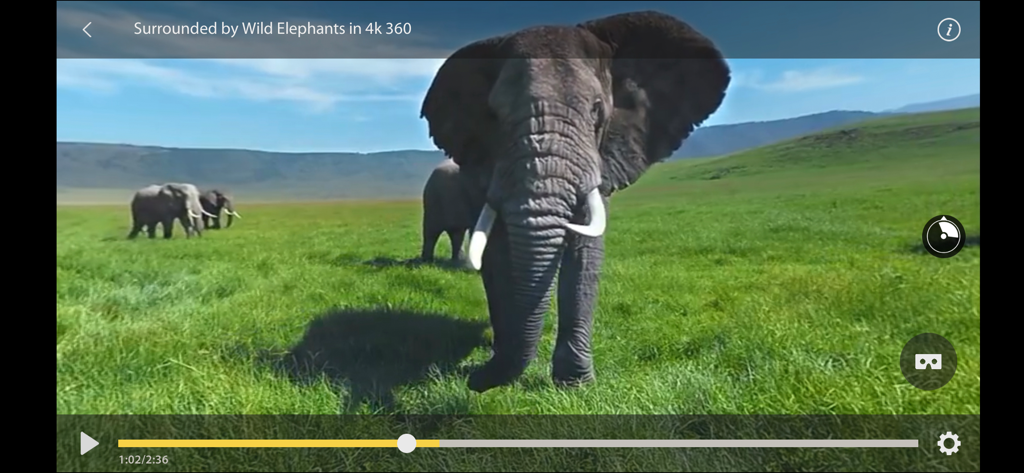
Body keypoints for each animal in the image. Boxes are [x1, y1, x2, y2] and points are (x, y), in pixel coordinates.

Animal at [418, 11, 730, 392]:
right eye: (494, 114)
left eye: (597, 110)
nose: (474, 380)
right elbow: (497, 254)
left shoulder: (600, 159)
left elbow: (586, 251)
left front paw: (575, 384)